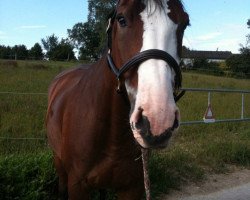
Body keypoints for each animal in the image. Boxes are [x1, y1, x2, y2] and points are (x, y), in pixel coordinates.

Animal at [46, 0, 188, 199]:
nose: (158, 120)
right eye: (121, 19)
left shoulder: (132, 187)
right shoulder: (77, 185)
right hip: (59, 162)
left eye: (184, 24)